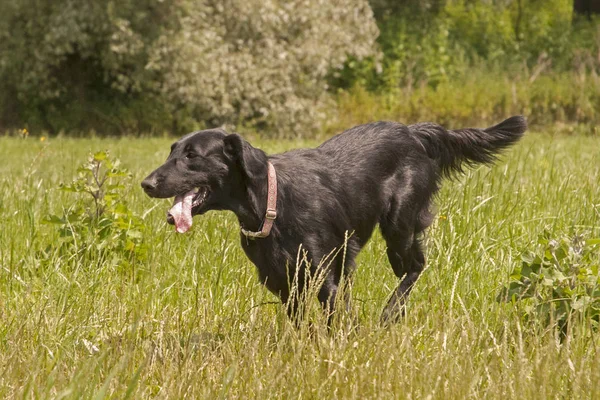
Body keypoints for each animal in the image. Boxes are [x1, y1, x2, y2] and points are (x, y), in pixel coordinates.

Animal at [141, 115, 524, 324]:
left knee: (416, 267)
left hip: (399, 225)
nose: (146, 183)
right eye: (172, 151)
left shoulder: (327, 274)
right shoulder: (283, 282)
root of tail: (413, 132)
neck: (271, 203)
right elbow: (302, 326)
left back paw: (390, 314)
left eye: (192, 155)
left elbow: (333, 321)